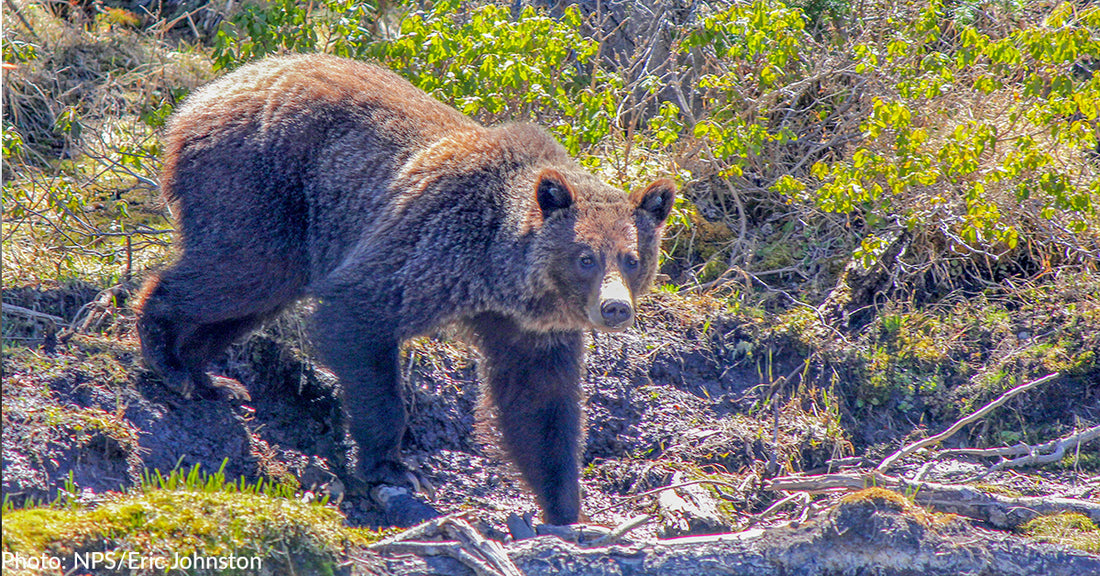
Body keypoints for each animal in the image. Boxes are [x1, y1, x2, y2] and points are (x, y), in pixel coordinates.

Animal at [134, 53, 673, 525]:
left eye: (633, 258)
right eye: (585, 258)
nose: (614, 308)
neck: (499, 272)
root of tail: (199, 98)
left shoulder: (529, 328)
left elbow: (539, 405)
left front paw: (566, 509)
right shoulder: (429, 246)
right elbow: (359, 321)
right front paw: (394, 466)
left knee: (248, 300)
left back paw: (207, 377)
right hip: (259, 182)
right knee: (240, 271)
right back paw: (166, 355)